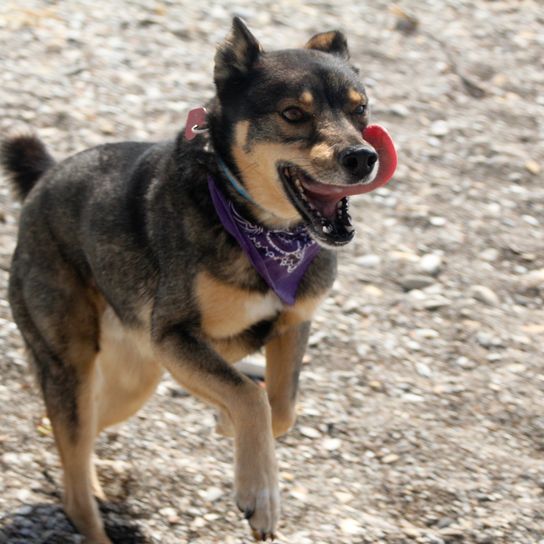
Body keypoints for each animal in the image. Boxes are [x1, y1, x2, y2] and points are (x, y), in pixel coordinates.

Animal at [2, 18, 398, 544]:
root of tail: (45, 179)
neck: (257, 226)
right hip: (72, 365)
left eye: (360, 109)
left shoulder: (291, 324)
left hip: (135, 379)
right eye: (293, 114)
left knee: (82, 447)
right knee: (74, 476)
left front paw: (229, 428)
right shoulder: (174, 335)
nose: (362, 157)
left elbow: (280, 405)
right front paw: (260, 495)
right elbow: (251, 397)